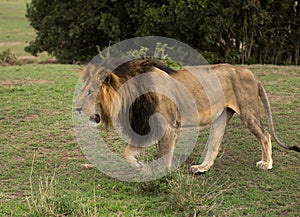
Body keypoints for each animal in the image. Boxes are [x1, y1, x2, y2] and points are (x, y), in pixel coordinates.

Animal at [77, 58, 300, 174]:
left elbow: (163, 154)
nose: (77, 109)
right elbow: (128, 153)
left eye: (90, 92)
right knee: (214, 144)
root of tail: (250, 73)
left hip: (248, 110)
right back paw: (201, 167)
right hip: (221, 116)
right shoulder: (147, 127)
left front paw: (161, 175)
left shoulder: (167, 126)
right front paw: (140, 166)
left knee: (265, 135)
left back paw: (267, 163)